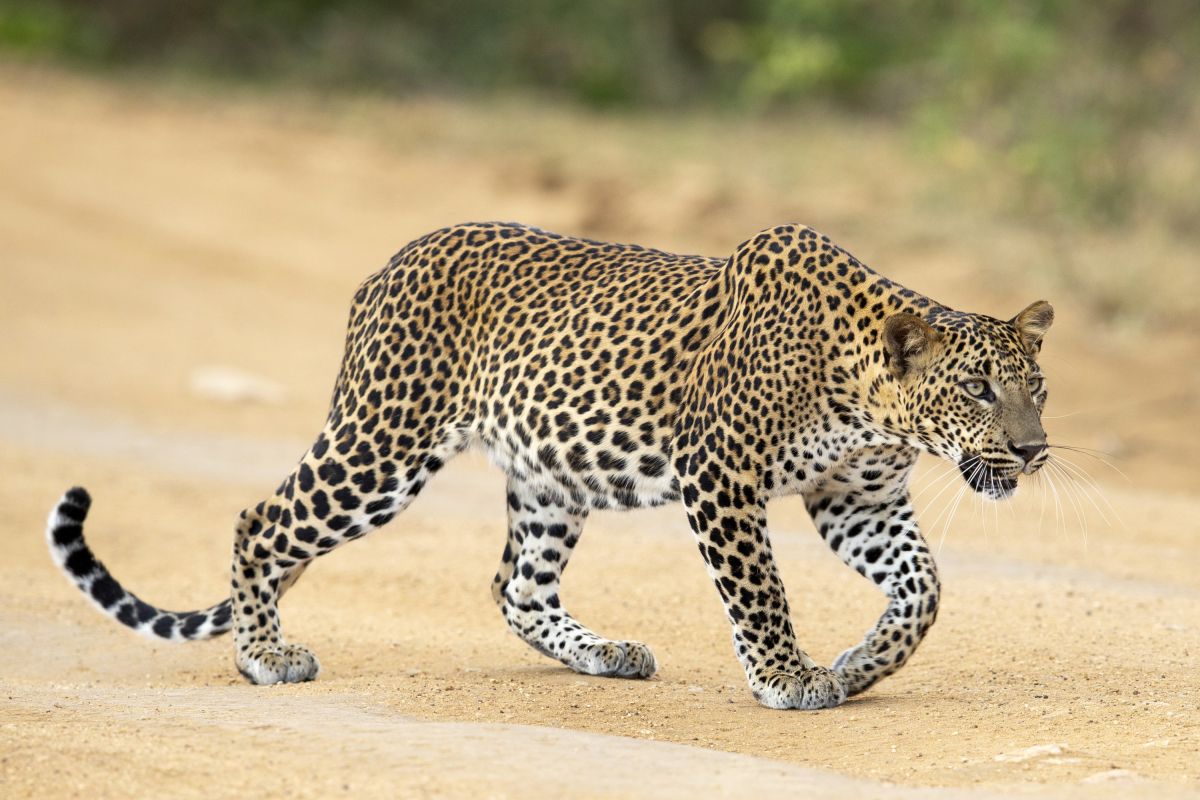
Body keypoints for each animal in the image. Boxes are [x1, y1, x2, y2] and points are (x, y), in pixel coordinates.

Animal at [45, 221, 1054, 710]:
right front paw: (789, 677)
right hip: (382, 444)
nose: (1034, 450)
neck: (868, 403)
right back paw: (264, 655)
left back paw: (605, 653)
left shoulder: (860, 500)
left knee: (515, 587)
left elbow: (923, 593)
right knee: (263, 521)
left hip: (548, 477)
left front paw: (859, 664)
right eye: (977, 390)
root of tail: (387, 265)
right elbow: (761, 591)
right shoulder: (720, 476)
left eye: (1036, 389)